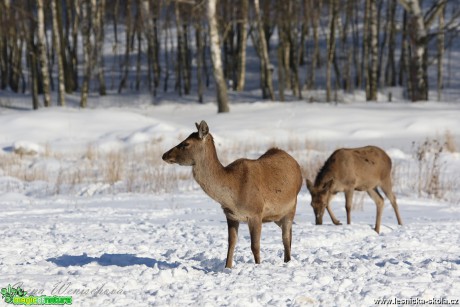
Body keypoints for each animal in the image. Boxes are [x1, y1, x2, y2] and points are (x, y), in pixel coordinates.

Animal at [160, 121, 304, 268]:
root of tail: (297, 166)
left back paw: (288, 261)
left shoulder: (256, 213)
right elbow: (231, 243)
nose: (164, 155)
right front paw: (227, 267)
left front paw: (257, 266)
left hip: (291, 208)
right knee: (289, 238)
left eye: (186, 143)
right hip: (276, 216)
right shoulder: (231, 216)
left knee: (286, 238)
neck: (233, 195)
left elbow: (255, 246)